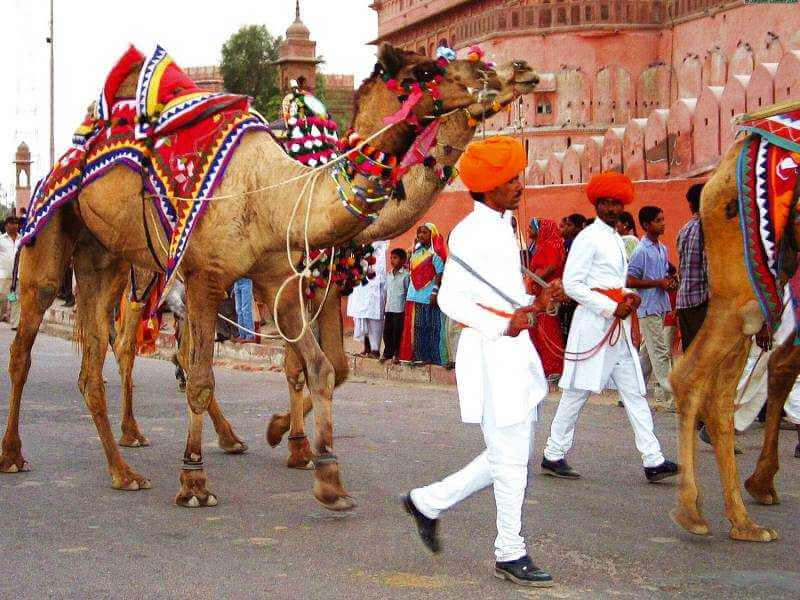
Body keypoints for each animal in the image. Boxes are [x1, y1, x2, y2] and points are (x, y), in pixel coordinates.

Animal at [0, 44, 537, 511]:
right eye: (427, 70)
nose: (518, 69)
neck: (277, 191)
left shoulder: (285, 281)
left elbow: (323, 369)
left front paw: (323, 472)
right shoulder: (213, 277)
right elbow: (211, 377)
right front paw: (198, 479)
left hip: (104, 258)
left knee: (97, 363)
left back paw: (130, 468)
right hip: (62, 249)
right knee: (44, 348)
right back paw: (20, 453)